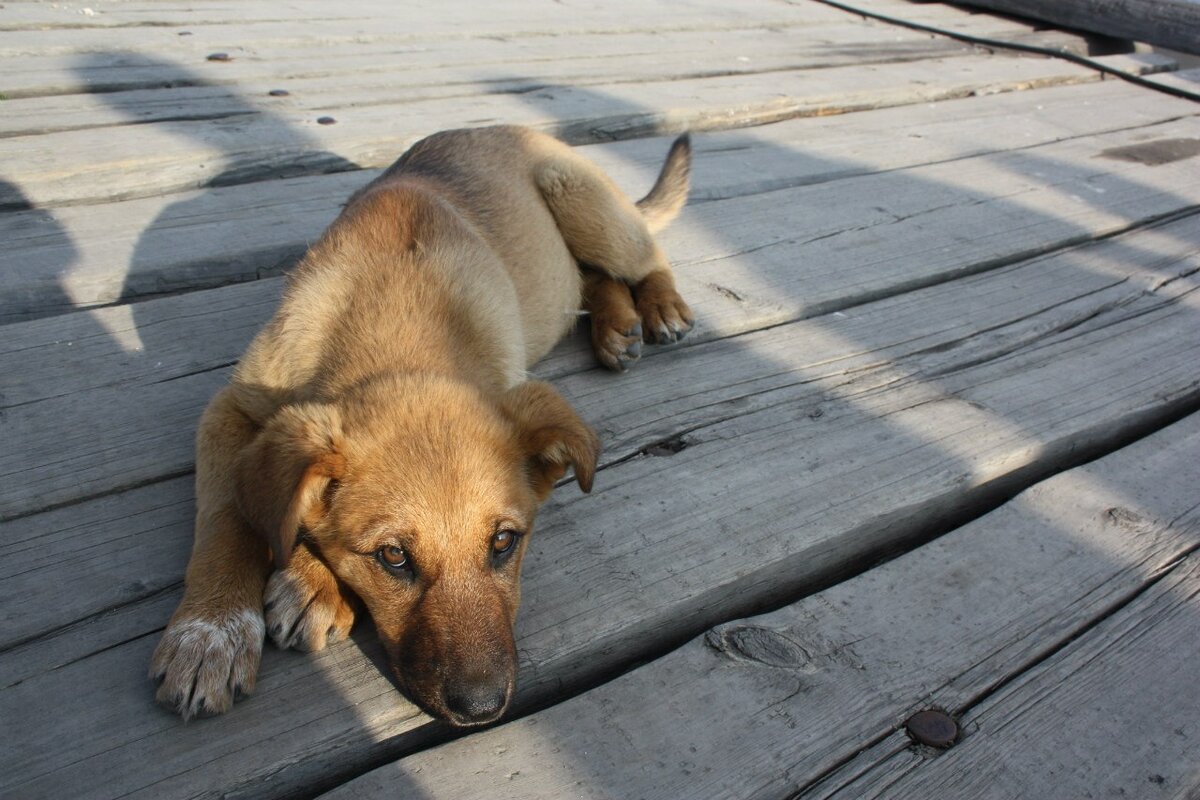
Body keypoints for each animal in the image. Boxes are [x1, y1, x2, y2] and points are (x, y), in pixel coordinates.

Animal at [150, 123, 696, 724]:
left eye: (503, 542)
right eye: (393, 557)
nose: (482, 709)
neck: (397, 317)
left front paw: (306, 582)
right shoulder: (232, 407)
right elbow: (229, 516)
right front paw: (212, 630)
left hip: (584, 202)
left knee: (644, 259)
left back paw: (658, 308)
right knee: (591, 277)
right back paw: (617, 325)